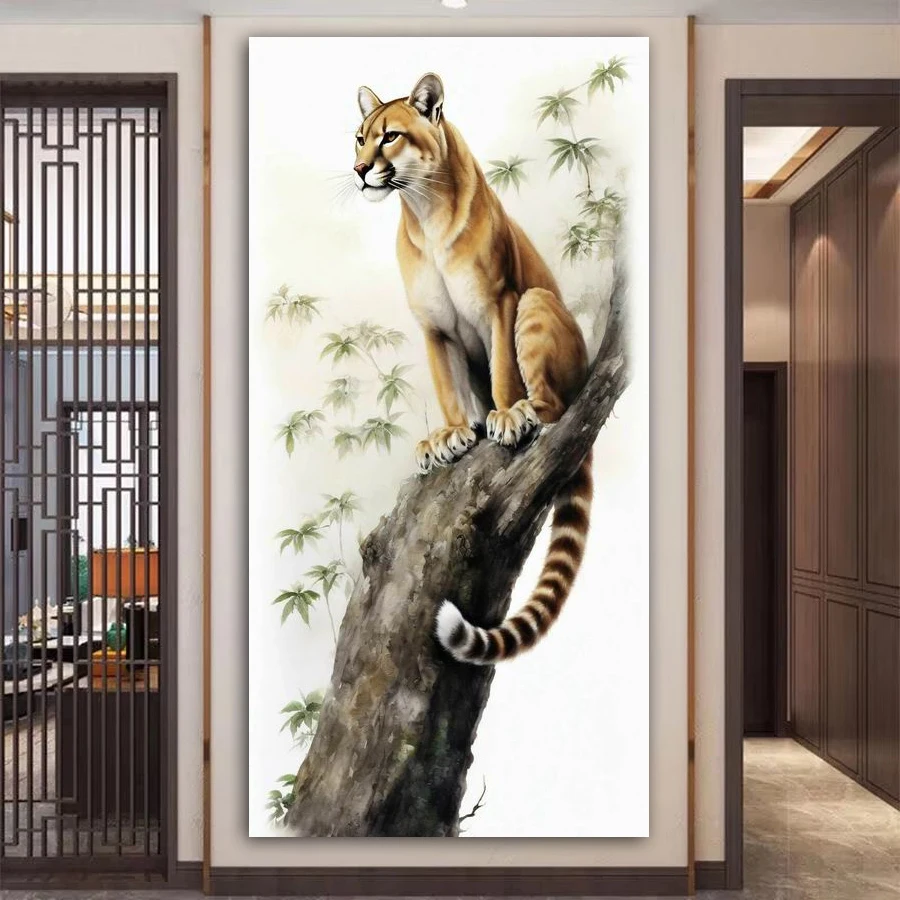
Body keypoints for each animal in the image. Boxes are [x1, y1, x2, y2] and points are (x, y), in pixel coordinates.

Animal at [353, 72, 593, 664]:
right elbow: (447, 387)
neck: (424, 209)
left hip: (536, 302)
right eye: (359, 138)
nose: (361, 169)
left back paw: (526, 411)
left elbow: (505, 368)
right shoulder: (435, 328)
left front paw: (504, 417)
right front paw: (449, 435)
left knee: (560, 403)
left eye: (390, 136)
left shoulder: (499, 301)